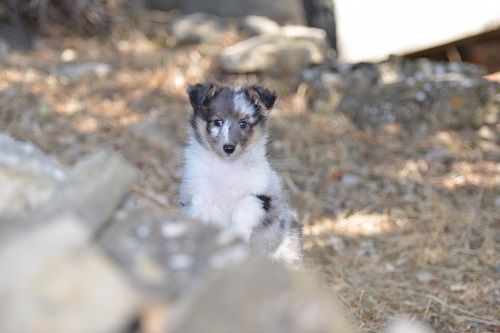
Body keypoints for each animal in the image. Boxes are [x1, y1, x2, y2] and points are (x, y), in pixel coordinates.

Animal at [180, 81, 304, 264]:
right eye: (217, 122)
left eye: (243, 123)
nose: (229, 148)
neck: (226, 167)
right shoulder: (197, 197)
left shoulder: (262, 195)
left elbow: (243, 207)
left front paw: (236, 235)